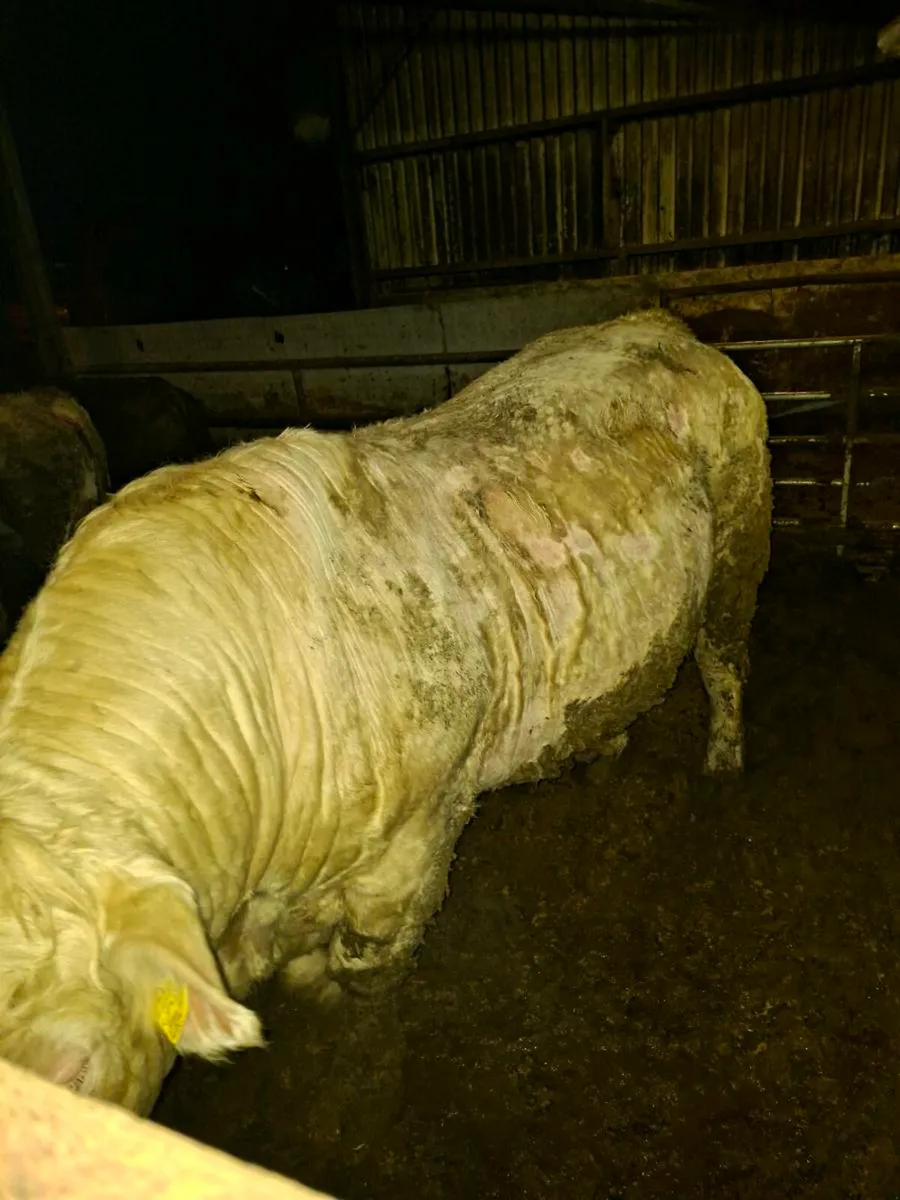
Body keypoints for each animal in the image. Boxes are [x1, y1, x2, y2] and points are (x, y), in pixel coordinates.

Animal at [0, 308, 771, 1115]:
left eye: (70, 1071)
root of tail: (655, 323)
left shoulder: (414, 842)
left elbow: (364, 966)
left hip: (740, 542)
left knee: (723, 662)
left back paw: (722, 760)